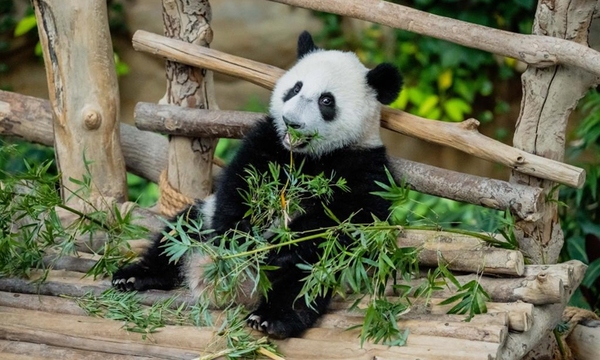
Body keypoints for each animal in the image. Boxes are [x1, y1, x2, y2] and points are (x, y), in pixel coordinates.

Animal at [112, 31, 404, 340]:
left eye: (327, 100)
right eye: (295, 88)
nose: (291, 122)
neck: (306, 156)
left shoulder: (364, 167)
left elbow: (343, 219)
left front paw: (277, 244)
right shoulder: (267, 141)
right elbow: (239, 184)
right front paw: (240, 237)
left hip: (327, 266)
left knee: (304, 283)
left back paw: (269, 317)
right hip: (200, 221)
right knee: (175, 237)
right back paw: (134, 275)